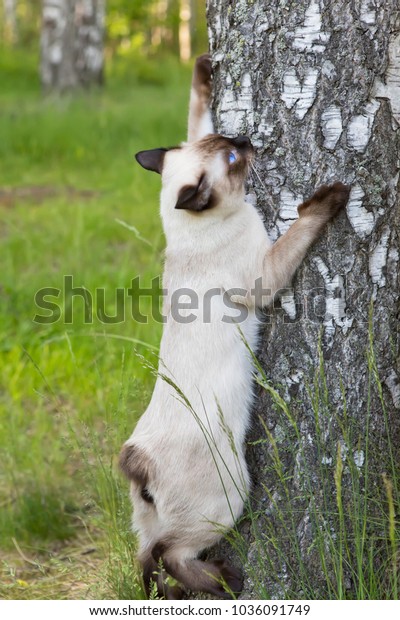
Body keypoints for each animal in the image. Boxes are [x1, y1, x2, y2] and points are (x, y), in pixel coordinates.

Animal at [119, 54, 350, 600]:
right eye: (231, 158)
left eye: (226, 142)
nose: (246, 139)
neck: (187, 231)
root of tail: (136, 459)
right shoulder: (264, 274)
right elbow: (301, 228)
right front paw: (329, 199)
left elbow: (193, 112)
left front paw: (203, 68)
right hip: (230, 496)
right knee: (170, 552)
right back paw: (227, 580)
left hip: (151, 522)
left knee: (146, 558)